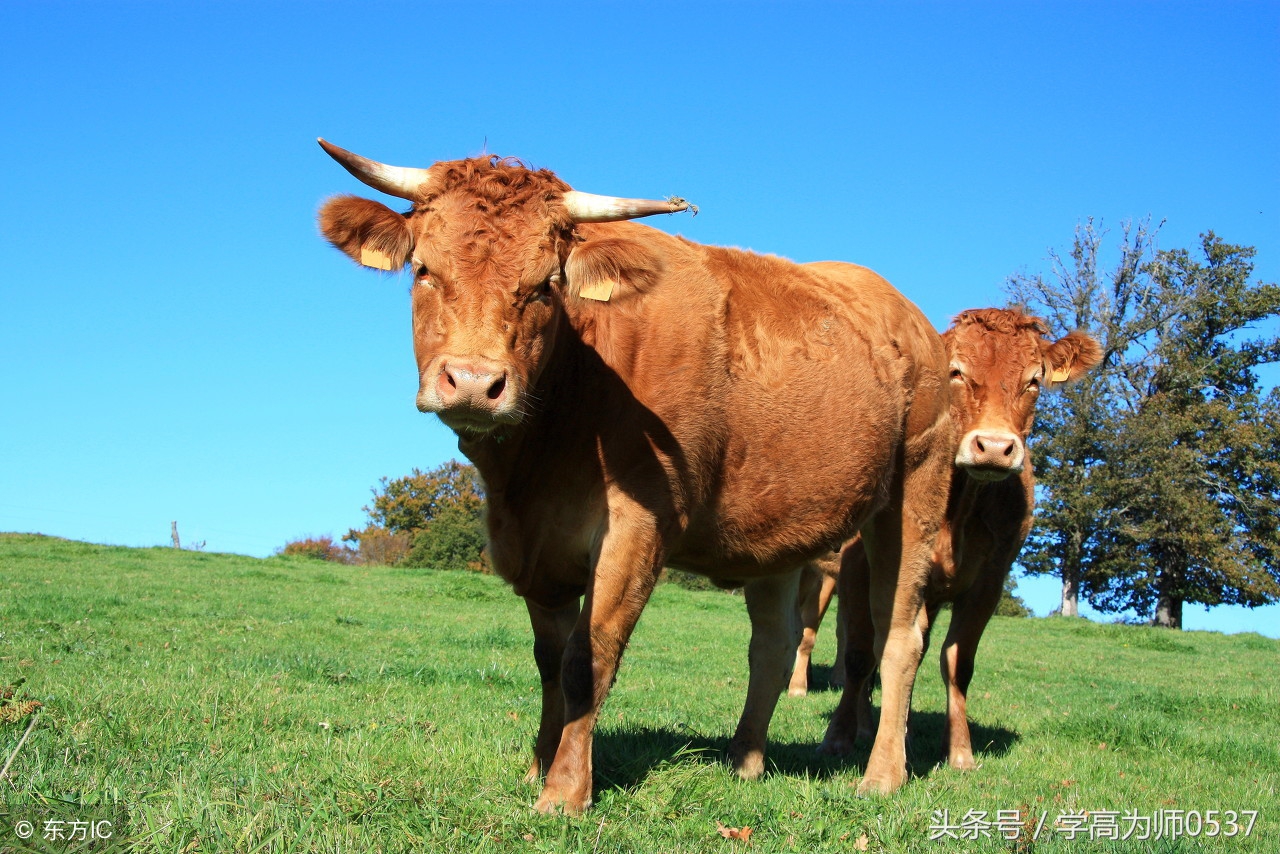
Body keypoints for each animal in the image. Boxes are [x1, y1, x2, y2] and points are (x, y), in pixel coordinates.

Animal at [314, 142, 957, 814]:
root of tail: (910, 316)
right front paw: (538, 764)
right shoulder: (538, 550)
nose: (472, 382)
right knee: (772, 647)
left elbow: (586, 660)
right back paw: (744, 762)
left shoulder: (638, 527)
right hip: (779, 529)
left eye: (545, 287)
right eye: (423, 271)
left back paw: (881, 775)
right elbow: (549, 661)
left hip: (916, 491)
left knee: (899, 638)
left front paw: (565, 791)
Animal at [819, 308, 1100, 773]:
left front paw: (960, 750)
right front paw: (839, 738)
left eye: (1033, 381)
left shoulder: (990, 580)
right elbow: (859, 654)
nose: (996, 447)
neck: (958, 508)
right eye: (956, 372)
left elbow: (957, 662)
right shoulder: (860, 566)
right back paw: (864, 726)